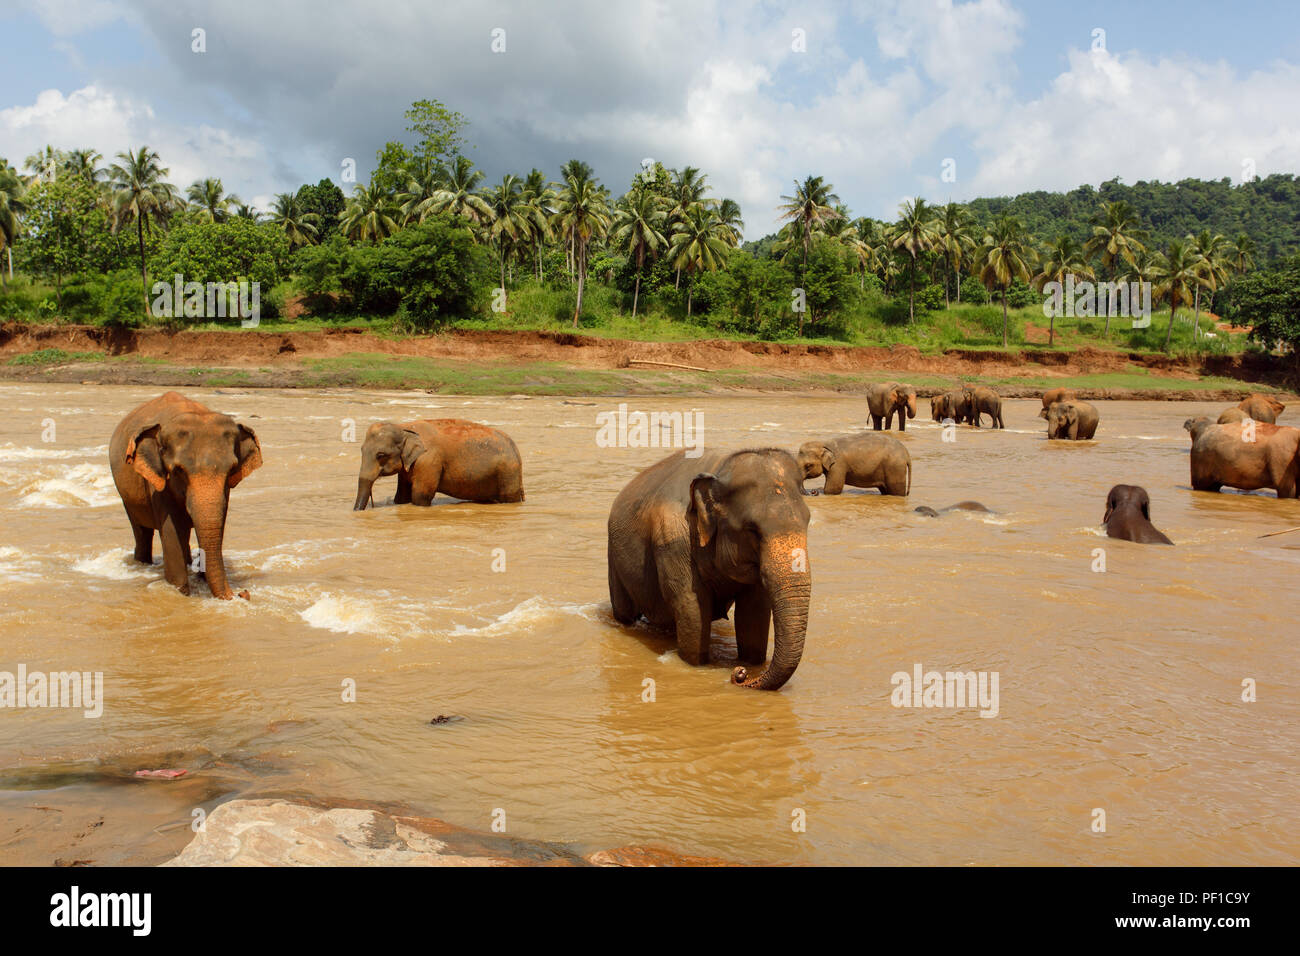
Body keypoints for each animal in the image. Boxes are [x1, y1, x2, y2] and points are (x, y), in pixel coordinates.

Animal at [110, 390, 265, 598]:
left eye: (232, 469)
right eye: (179, 470)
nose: (243, 593)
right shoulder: (158, 484)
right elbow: (171, 528)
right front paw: (180, 592)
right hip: (127, 497)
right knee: (142, 531)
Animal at [353, 418, 525, 509]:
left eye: (380, 455)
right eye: (361, 450)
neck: (404, 427)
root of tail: (516, 449)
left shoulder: (428, 461)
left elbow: (420, 496)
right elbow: (402, 496)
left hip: (508, 472)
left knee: (509, 498)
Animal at [603, 447, 806, 686]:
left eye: (808, 520)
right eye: (753, 530)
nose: (740, 675)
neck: (720, 470)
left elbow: (754, 610)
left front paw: (750, 663)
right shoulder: (673, 540)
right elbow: (691, 606)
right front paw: (697, 666)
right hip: (613, 557)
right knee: (625, 612)